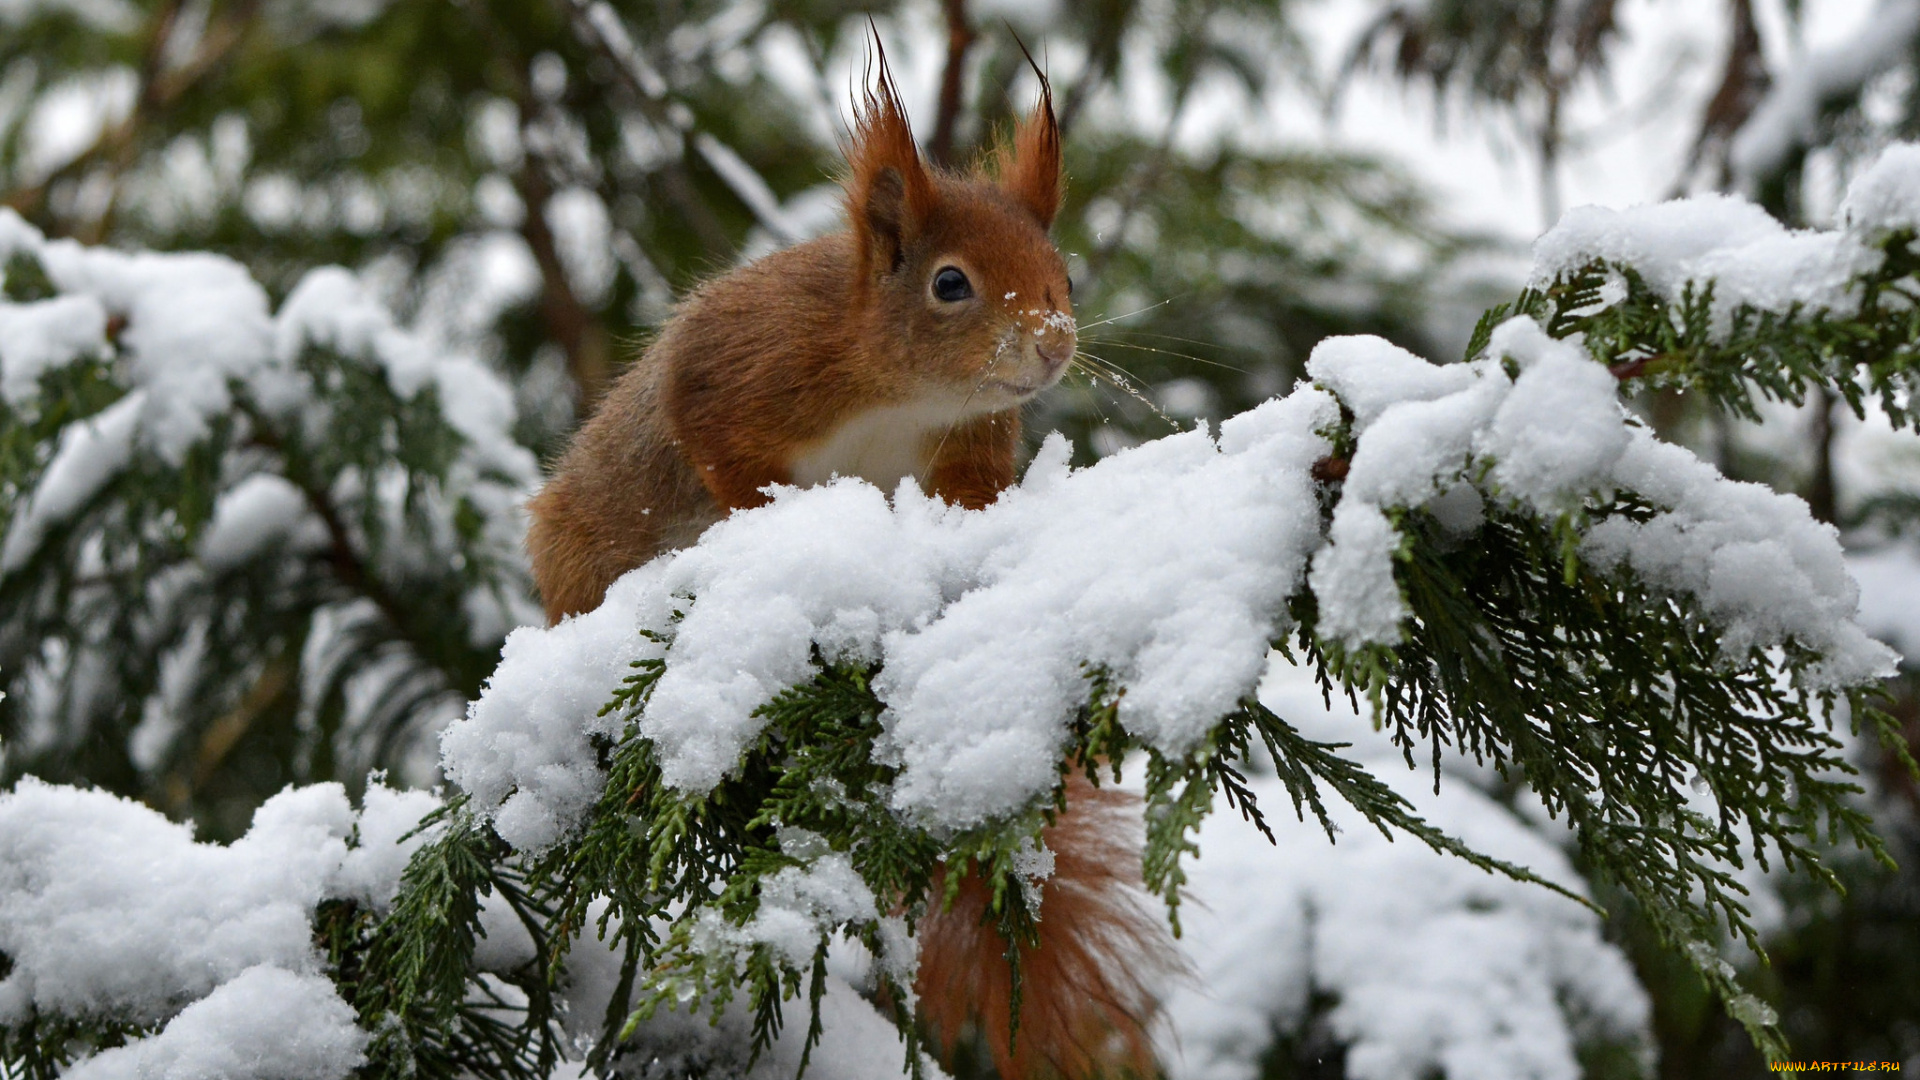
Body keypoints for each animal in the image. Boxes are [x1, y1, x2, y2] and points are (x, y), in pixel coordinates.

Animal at [522, 52, 1167, 1076]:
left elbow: (973, 501)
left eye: (1063, 272)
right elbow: (713, 436)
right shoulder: (744, 360)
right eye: (951, 284)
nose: (1054, 344)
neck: (901, 390)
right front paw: (766, 524)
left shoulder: (968, 445)